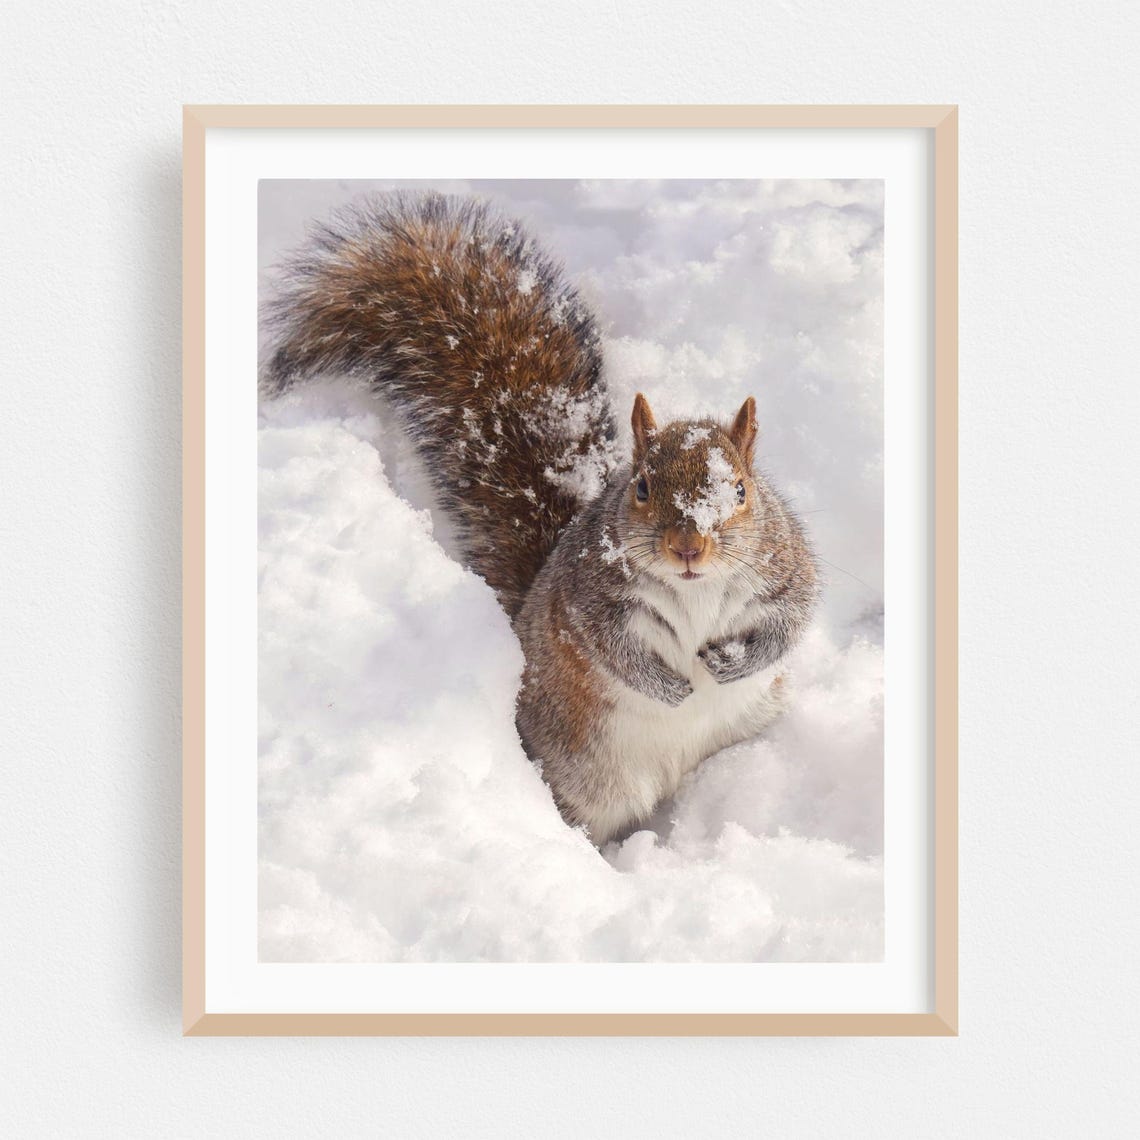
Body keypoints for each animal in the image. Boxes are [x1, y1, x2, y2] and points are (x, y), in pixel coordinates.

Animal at [262, 192, 818, 845]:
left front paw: (732, 663)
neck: (696, 590)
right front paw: (670, 686)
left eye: (740, 490)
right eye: (642, 487)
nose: (687, 548)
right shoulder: (587, 599)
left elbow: (789, 623)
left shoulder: (786, 571)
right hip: (585, 775)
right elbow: (614, 650)